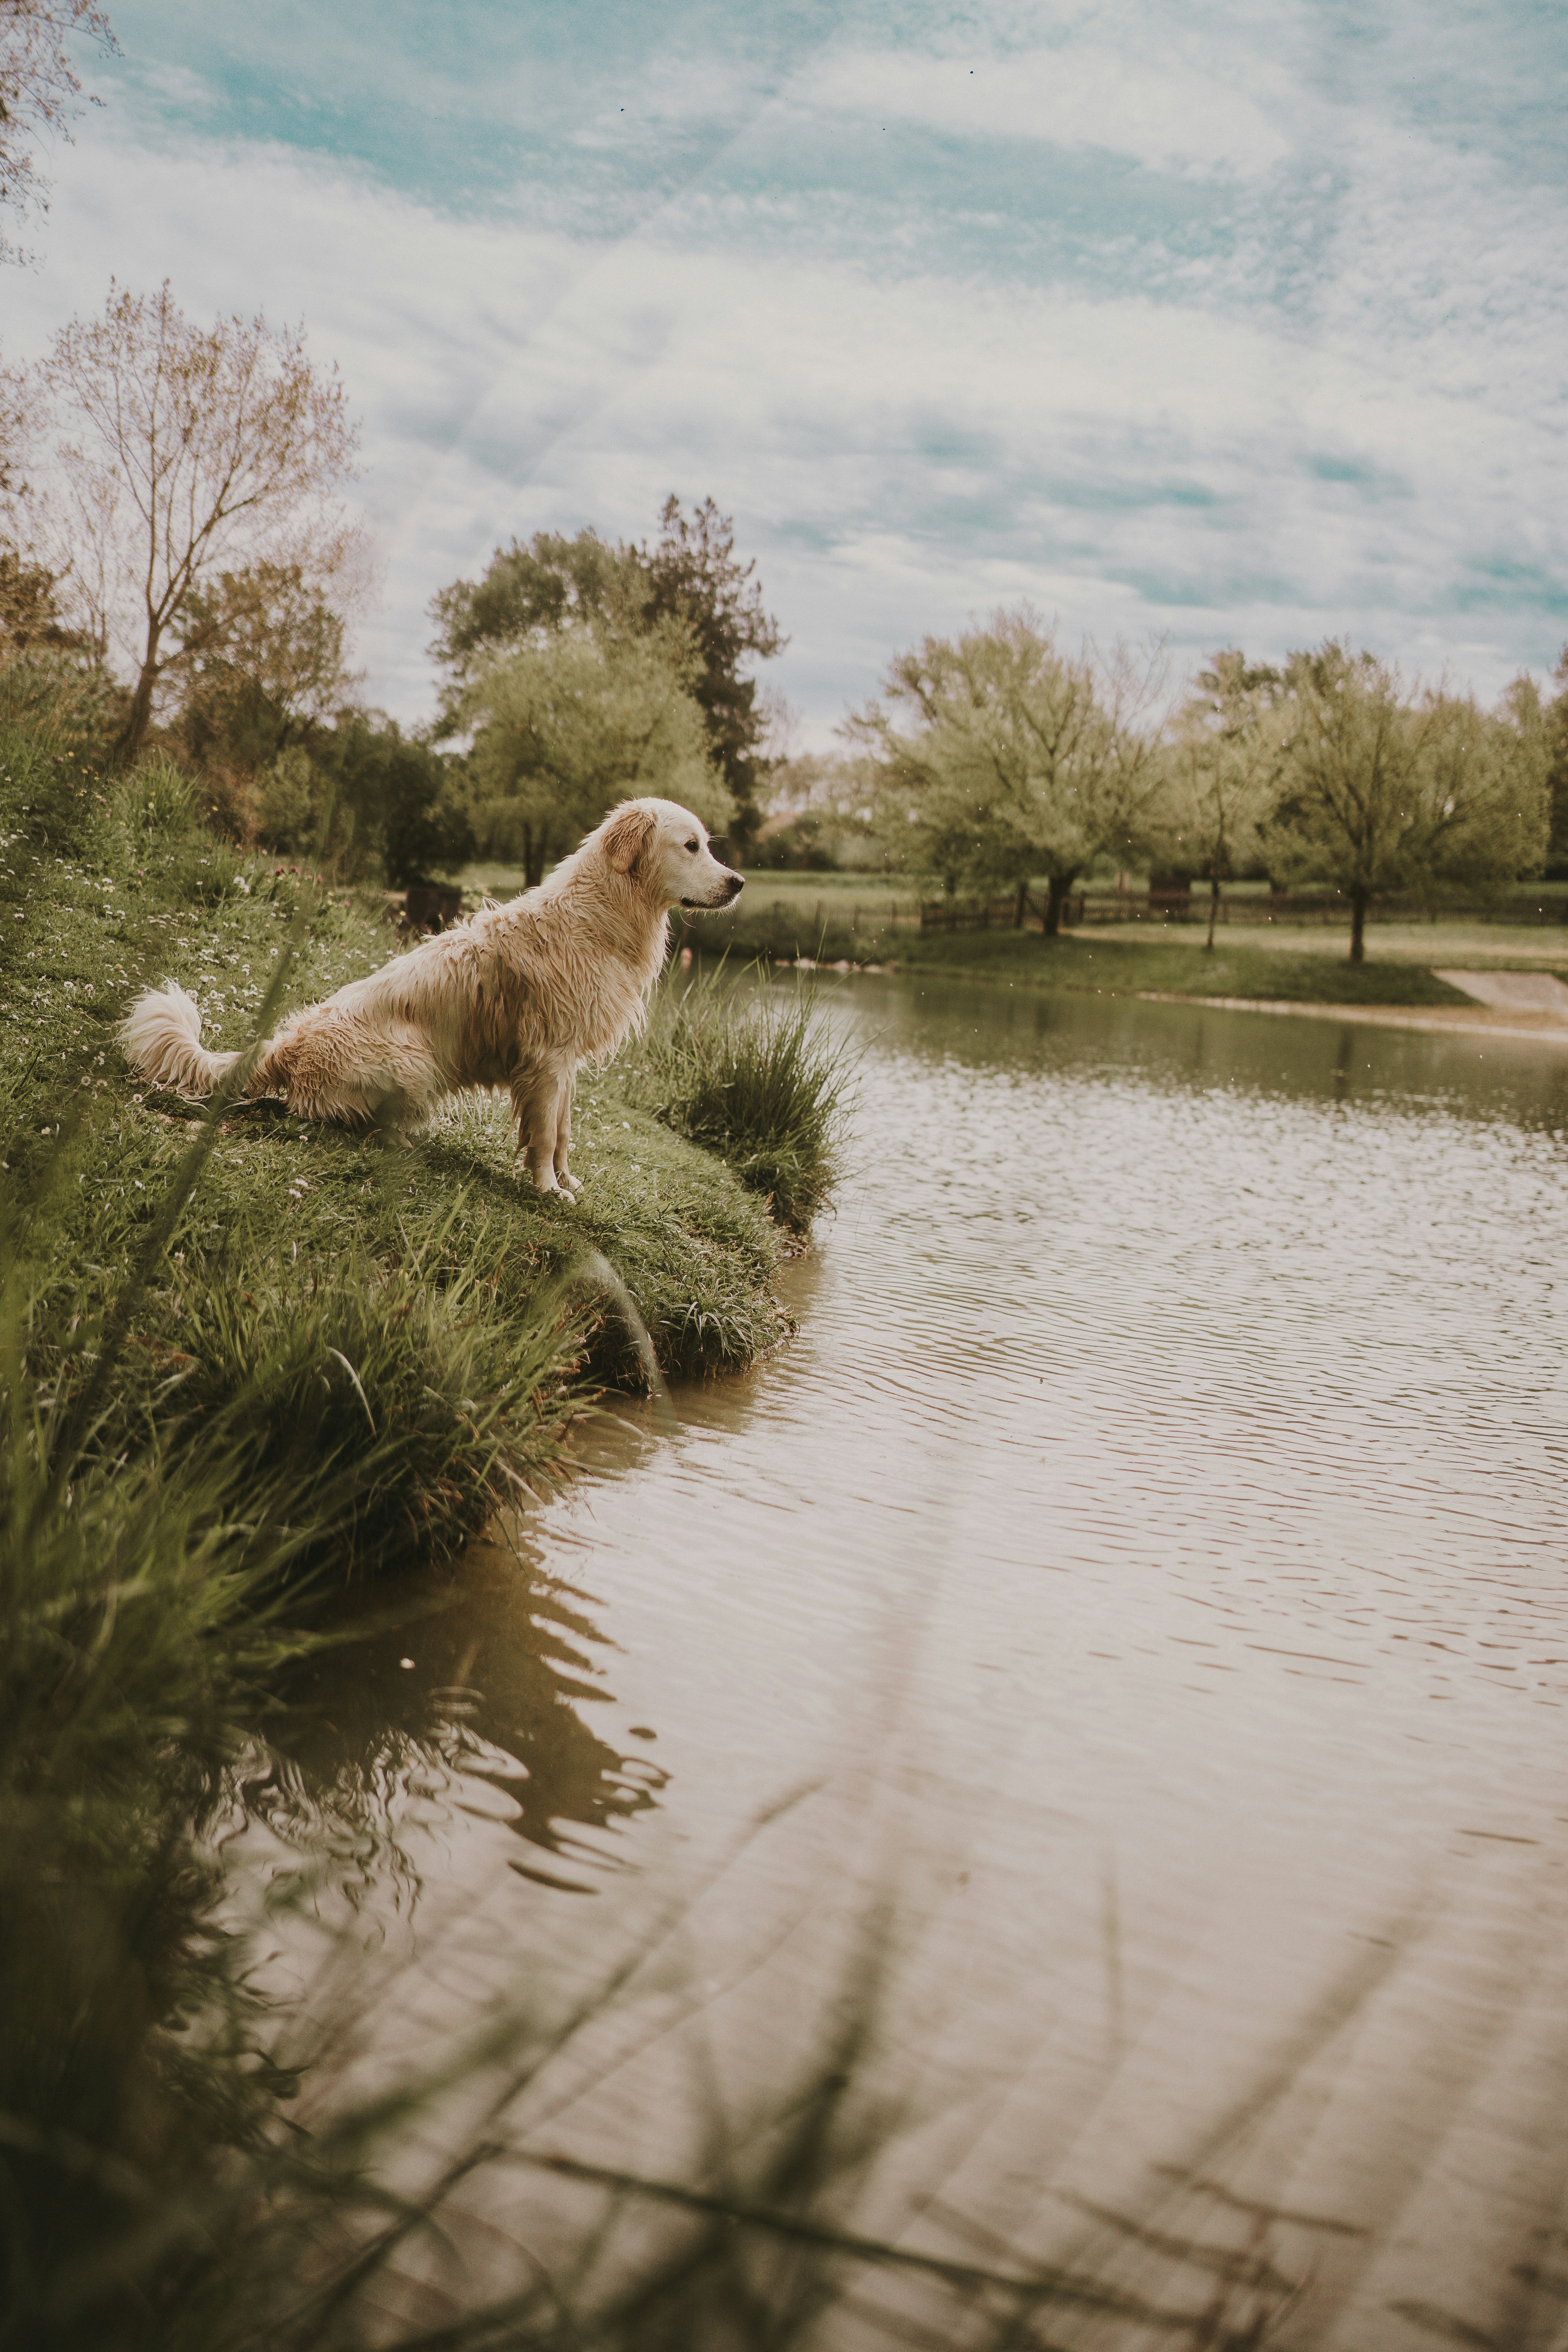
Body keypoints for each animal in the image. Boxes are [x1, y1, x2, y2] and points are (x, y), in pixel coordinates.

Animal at [120, 800, 748, 1195]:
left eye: (707, 846)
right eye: (691, 846)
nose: (739, 882)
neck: (602, 913)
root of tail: (288, 1044)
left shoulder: (565, 1061)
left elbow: (564, 1133)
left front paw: (566, 1179)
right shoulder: (547, 1058)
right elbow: (545, 1135)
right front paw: (549, 1191)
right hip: (413, 1059)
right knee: (332, 1112)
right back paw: (399, 1136)